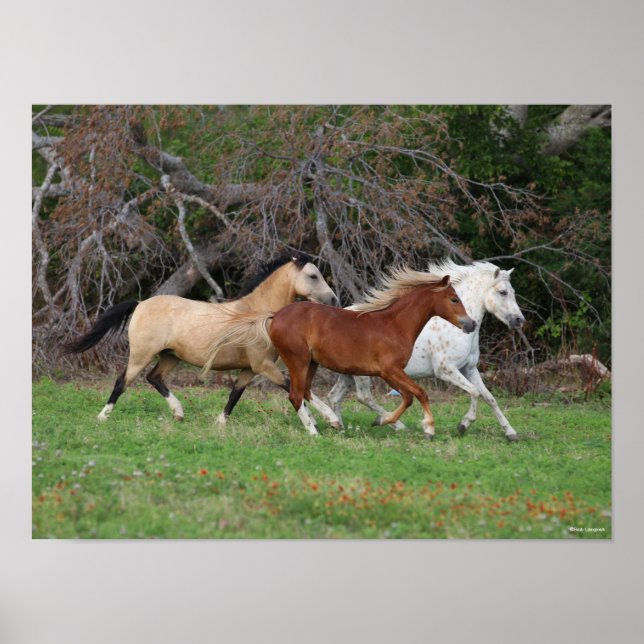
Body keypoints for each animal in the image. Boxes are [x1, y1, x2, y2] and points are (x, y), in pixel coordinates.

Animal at [63, 251, 341, 432]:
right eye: (313, 276)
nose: (334, 300)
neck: (256, 315)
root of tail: (140, 304)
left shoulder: (249, 369)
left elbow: (234, 395)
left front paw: (219, 424)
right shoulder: (263, 366)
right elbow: (293, 387)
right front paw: (328, 420)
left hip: (170, 356)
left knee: (154, 378)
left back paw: (178, 413)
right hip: (141, 355)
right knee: (122, 382)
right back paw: (103, 417)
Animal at [205, 267, 476, 438]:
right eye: (453, 299)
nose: (471, 324)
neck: (394, 325)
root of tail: (275, 316)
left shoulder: (391, 373)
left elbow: (410, 396)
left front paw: (384, 421)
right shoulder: (389, 371)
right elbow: (418, 393)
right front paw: (426, 428)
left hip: (311, 363)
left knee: (306, 392)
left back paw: (332, 421)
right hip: (298, 360)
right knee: (295, 395)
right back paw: (314, 431)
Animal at [326, 260, 526, 441]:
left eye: (513, 292)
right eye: (503, 292)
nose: (519, 320)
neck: (453, 326)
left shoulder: (469, 369)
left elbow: (489, 397)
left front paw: (511, 433)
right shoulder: (446, 370)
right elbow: (474, 392)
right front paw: (463, 425)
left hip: (349, 373)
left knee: (334, 397)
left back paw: (341, 428)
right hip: (363, 375)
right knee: (364, 397)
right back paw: (394, 424)